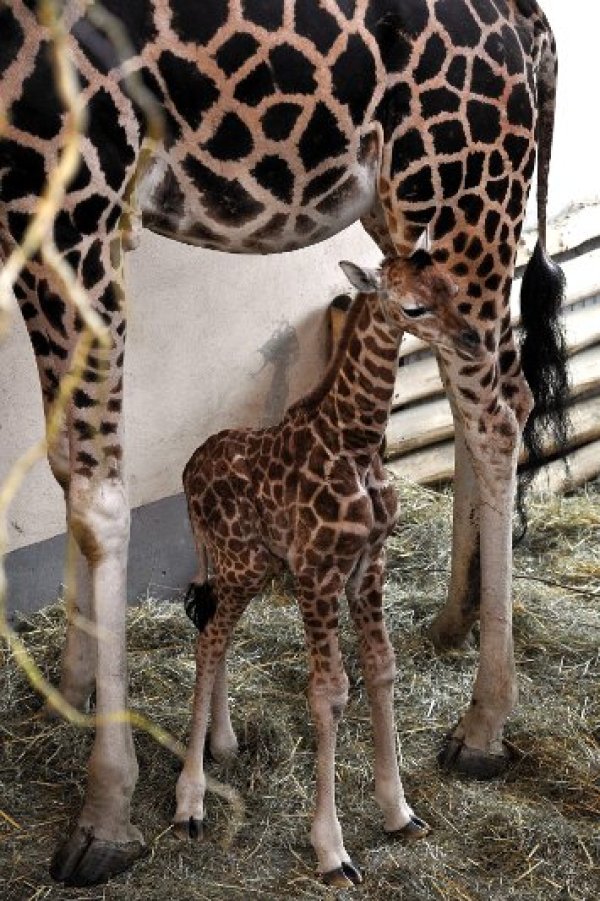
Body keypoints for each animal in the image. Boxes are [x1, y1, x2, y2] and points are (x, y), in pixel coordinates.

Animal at [173, 236, 482, 884]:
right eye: (413, 308)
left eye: (451, 288)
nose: (471, 340)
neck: (356, 447)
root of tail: (187, 472)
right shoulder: (318, 572)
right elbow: (331, 691)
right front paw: (332, 850)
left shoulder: (370, 563)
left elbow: (383, 668)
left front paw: (399, 813)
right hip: (241, 560)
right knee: (208, 640)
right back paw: (190, 802)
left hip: (246, 564)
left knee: (215, 633)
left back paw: (224, 743)